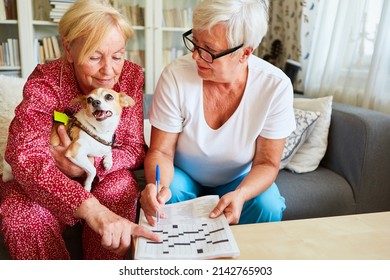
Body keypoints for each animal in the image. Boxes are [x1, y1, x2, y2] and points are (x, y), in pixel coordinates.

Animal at [2, 88, 135, 192]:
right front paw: (87, 185)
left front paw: (108, 162)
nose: (95, 102)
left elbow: (108, 151)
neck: (98, 130)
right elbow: (92, 170)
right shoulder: (75, 153)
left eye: (109, 96)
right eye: (89, 99)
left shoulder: (103, 146)